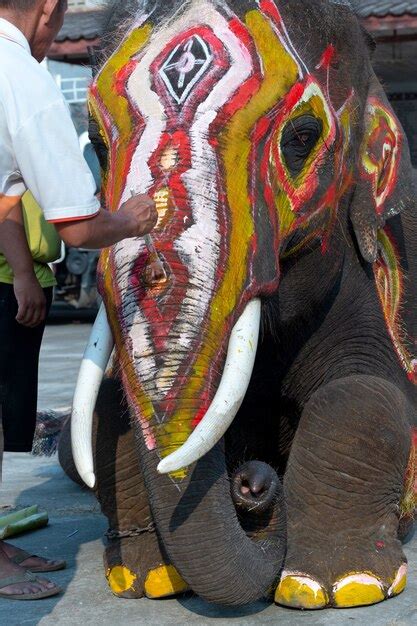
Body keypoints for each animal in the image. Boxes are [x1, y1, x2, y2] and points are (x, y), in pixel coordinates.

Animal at [61, 0, 416, 608]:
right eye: (98, 147)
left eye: (302, 137)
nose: (252, 481)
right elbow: (107, 410)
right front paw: (148, 579)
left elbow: (368, 393)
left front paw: (338, 585)